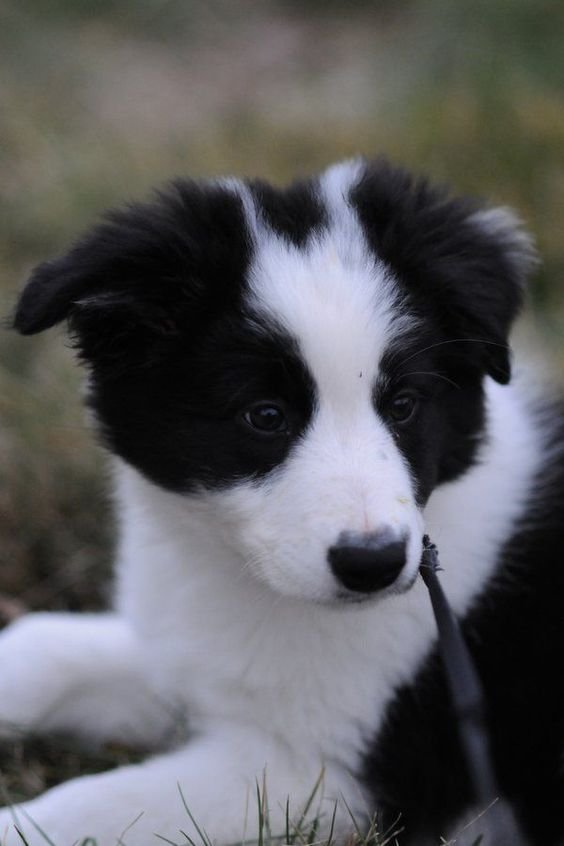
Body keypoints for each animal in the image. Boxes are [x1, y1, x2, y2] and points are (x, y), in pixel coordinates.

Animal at [1, 161, 564, 846]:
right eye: (265, 416)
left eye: (404, 405)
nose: (374, 564)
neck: (245, 579)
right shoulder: (189, 660)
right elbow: (44, 649)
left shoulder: (316, 776)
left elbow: (92, 804)